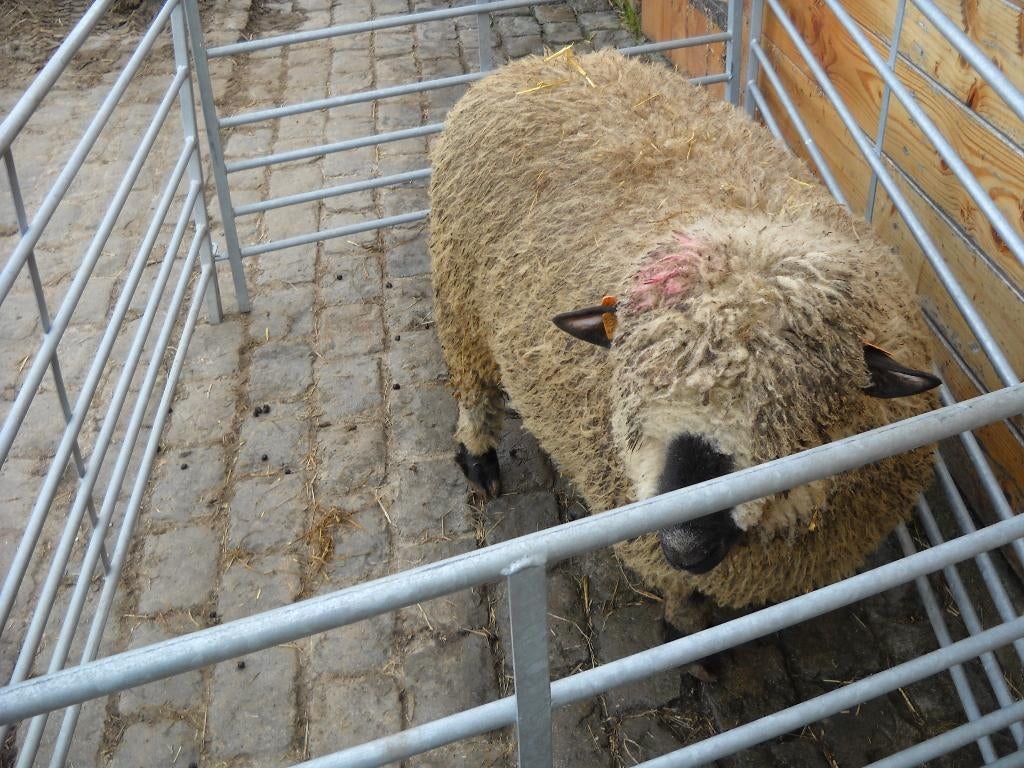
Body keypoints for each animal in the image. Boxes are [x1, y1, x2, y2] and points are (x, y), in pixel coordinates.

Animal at [428, 49, 939, 633]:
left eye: (803, 408)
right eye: (632, 377)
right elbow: (681, 602)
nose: (685, 542)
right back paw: (479, 456)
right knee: (472, 386)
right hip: (459, 300)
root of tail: (538, 63)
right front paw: (685, 629)